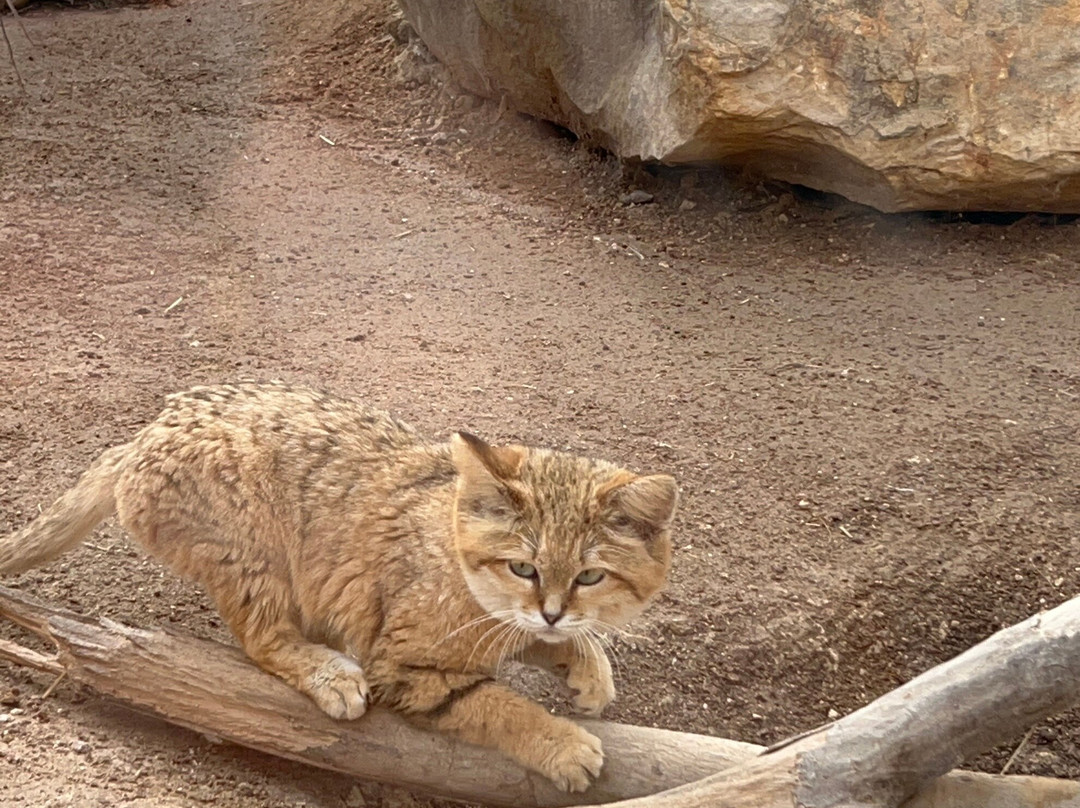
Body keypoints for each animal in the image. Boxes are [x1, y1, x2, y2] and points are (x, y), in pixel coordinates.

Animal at [0, 382, 678, 792]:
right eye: (524, 568)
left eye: (589, 576)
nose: (554, 611)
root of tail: (144, 434)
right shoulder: (404, 667)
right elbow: (495, 704)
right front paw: (562, 743)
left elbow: (547, 640)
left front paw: (587, 666)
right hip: (257, 554)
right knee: (264, 641)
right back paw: (327, 671)